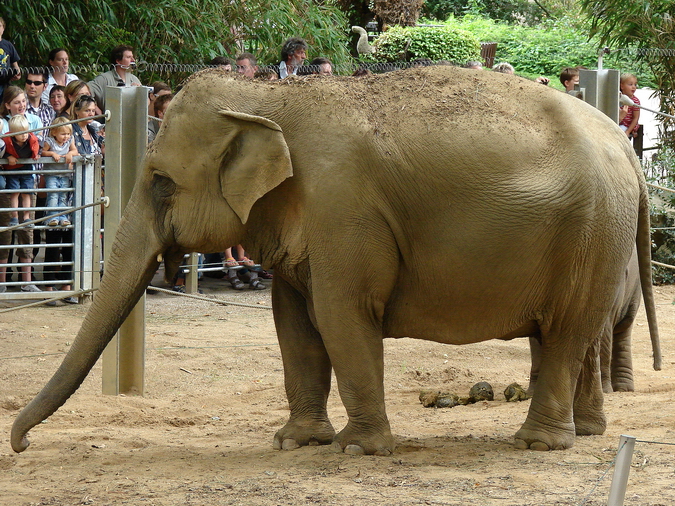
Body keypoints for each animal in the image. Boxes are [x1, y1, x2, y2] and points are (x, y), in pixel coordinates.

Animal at [11, 66, 661, 456]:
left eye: (161, 183)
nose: (19, 445)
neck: (274, 100)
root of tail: (627, 148)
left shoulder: (343, 208)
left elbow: (343, 317)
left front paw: (359, 449)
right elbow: (294, 326)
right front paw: (294, 442)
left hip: (590, 230)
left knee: (567, 330)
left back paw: (539, 444)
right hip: (586, 236)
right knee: (569, 331)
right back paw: (588, 431)